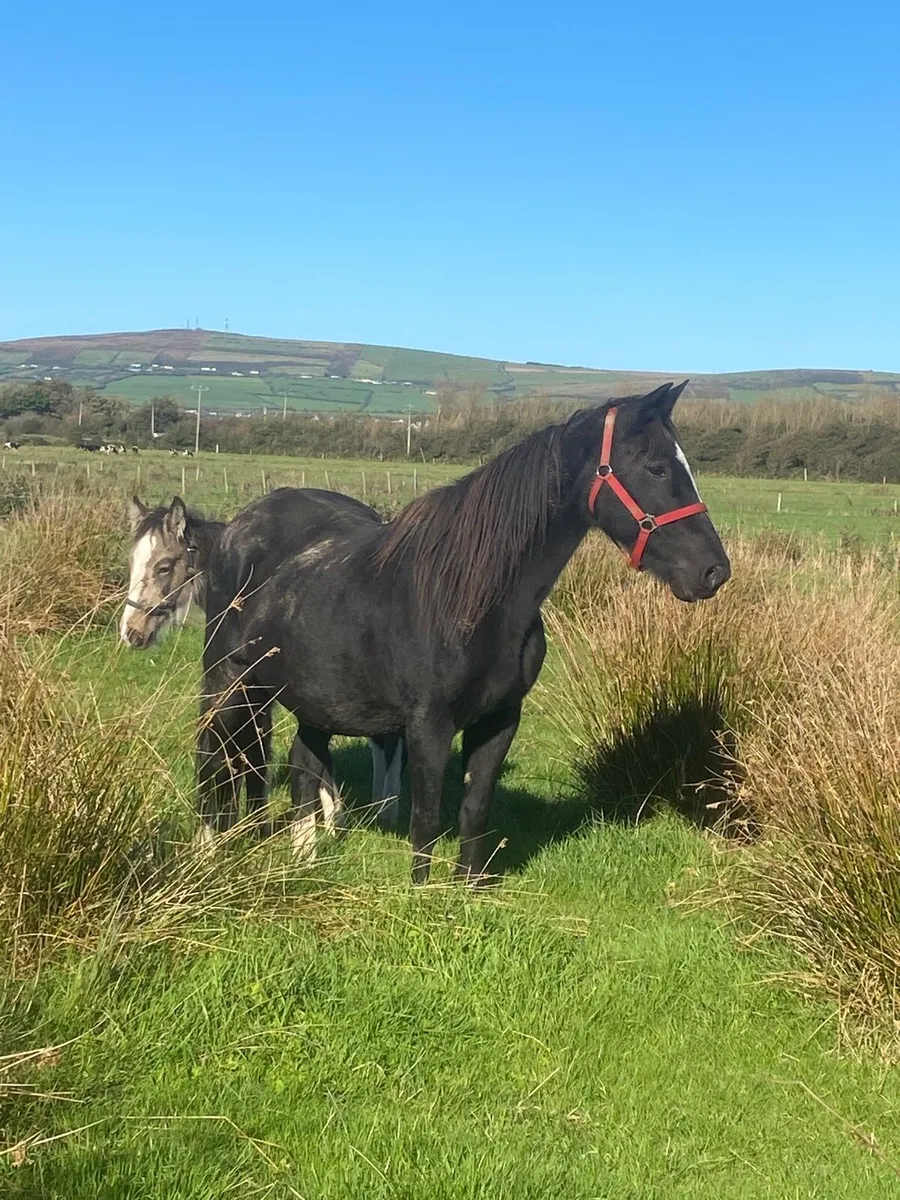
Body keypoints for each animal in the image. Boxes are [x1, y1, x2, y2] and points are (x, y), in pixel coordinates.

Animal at [199, 382, 731, 882]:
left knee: (302, 765)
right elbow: (427, 819)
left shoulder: (500, 719)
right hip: (229, 682)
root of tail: (236, 527)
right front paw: (423, 895)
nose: (714, 571)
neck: (473, 596)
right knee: (214, 757)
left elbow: (475, 810)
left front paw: (467, 889)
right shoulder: (428, 724)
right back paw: (210, 849)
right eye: (656, 468)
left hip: (310, 695)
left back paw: (304, 856)